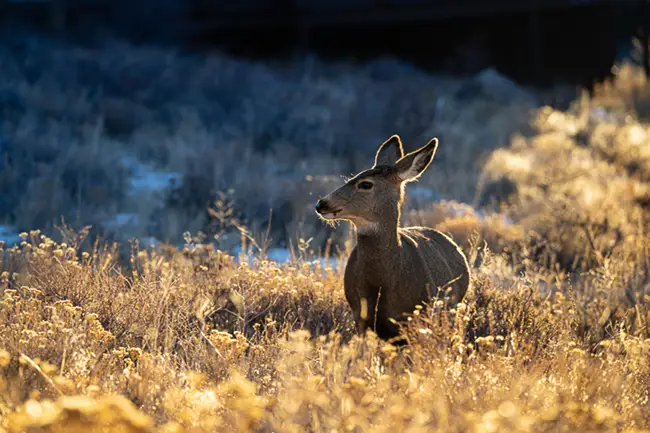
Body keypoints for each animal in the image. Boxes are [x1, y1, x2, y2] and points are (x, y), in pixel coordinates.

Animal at [315, 135, 470, 345]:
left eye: (366, 184)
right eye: (351, 177)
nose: (321, 204)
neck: (382, 283)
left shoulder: (413, 317)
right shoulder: (360, 316)